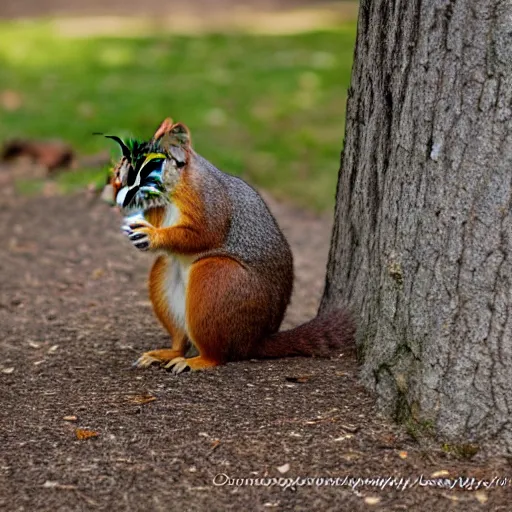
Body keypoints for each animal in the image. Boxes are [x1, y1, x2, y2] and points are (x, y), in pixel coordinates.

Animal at [106, 118, 354, 374]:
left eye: (150, 167)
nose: (116, 189)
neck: (173, 191)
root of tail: (254, 341)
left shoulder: (209, 200)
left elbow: (205, 233)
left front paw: (152, 235)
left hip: (218, 277)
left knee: (218, 355)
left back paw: (195, 361)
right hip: (166, 275)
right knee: (181, 339)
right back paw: (166, 353)